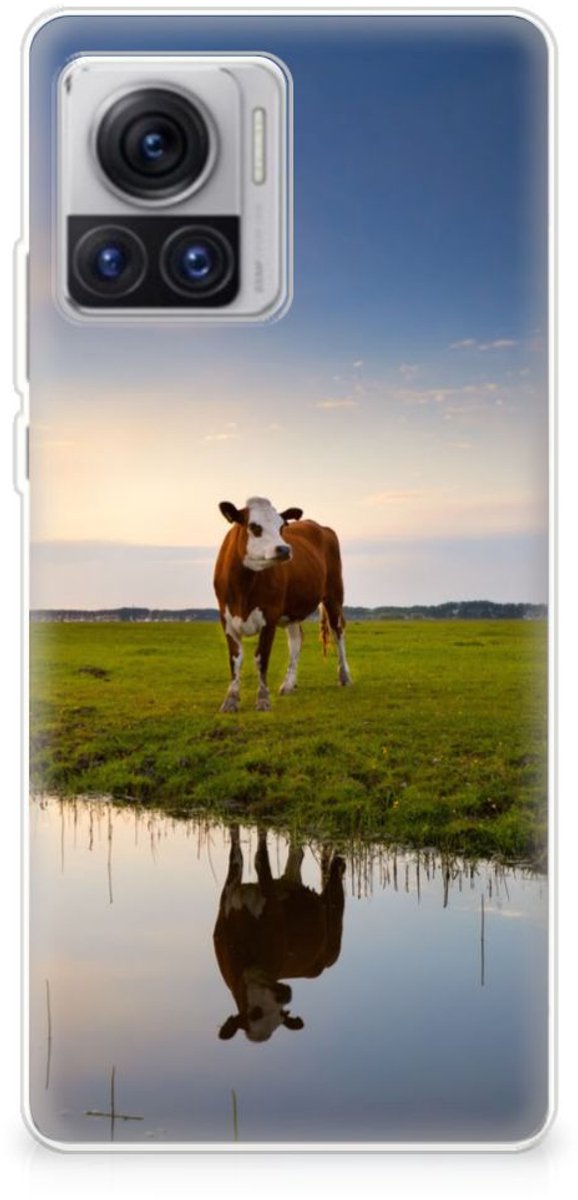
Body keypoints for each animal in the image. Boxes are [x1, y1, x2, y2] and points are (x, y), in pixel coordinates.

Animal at [213, 496, 352, 712]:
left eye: (281, 527)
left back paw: (344, 676)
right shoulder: (226, 619)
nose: (285, 549)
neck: (243, 587)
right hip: (292, 610)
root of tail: (320, 526)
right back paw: (288, 684)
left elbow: (261, 657)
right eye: (254, 527)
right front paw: (231, 700)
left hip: (334, 595)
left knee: (338, 631)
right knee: (296, 640)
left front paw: (263, 699)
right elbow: (235, 659)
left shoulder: (269, 616)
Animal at [213, 826, 346, 1043]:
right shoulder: (228, 896)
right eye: (254, 1013)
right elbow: (236, 853)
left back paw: (338, 862)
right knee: (297, 853)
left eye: (281, 1014)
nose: (285, 995)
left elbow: (260, 858)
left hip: (334, 930)